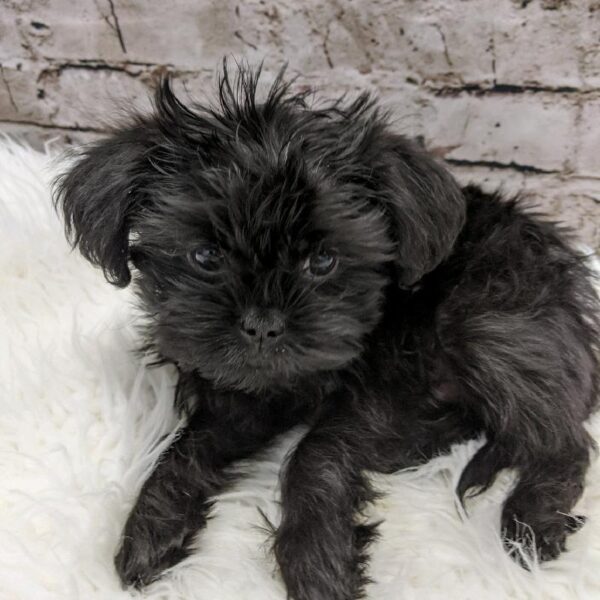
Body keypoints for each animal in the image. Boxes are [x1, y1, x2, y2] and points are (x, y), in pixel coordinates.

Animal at [54, 63, 596, 596]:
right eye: (206, 256)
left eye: (323, 261)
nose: (263, 325)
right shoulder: (238, 397)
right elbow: (186, 447)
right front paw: (151, 526)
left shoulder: (388, 392)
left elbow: (316, 451)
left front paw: (317, 563)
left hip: (488, 325)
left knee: (565, 441)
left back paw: (531, 522)